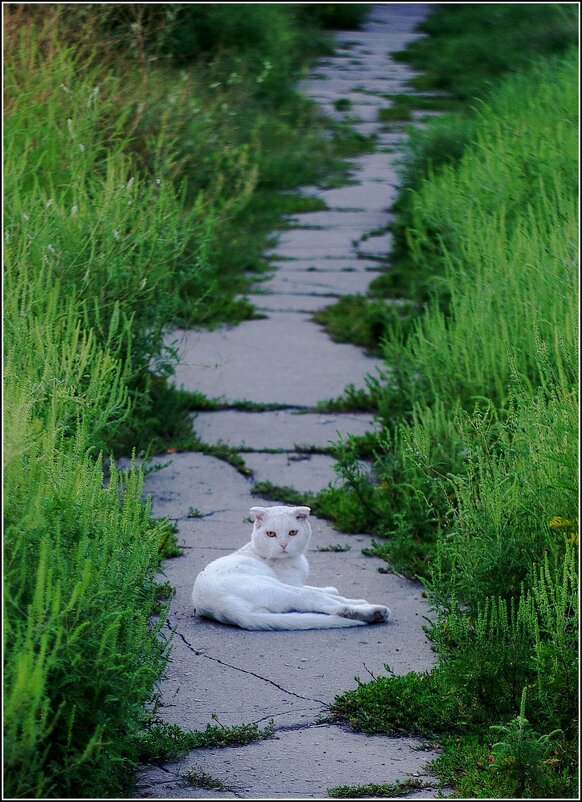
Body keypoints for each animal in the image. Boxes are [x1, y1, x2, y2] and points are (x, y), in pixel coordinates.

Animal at [193, 504, 392, 628]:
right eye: (271, 534)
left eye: (292, 532)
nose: (283, 545)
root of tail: (221, 607)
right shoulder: (291, 584)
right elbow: (323, 593)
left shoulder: (296, 583)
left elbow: (328, 590)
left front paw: (336, 591)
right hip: (276, 587)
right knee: (322, 602)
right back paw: (374, 611)